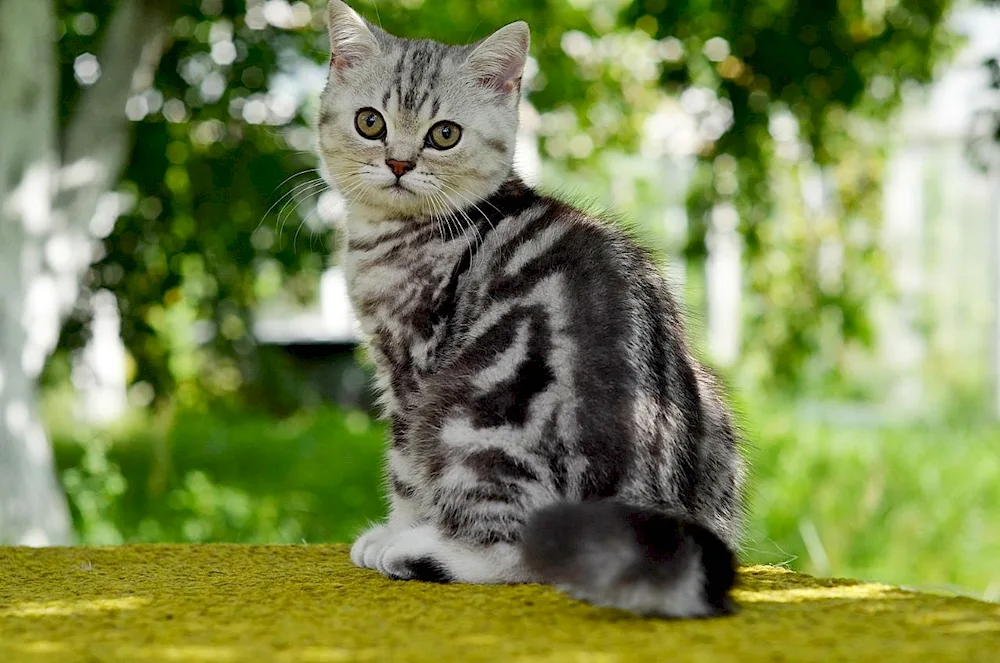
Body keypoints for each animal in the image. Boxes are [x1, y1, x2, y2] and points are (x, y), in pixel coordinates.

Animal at [316, 0, 748, 616]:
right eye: (369, 122)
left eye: (444, 134)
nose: (398, 163)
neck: (396, 234)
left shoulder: (412, 369)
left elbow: (405, 471)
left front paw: (398, 528)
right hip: (710, 405)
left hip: (472, 413)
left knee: (517, 551)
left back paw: (419, 551)